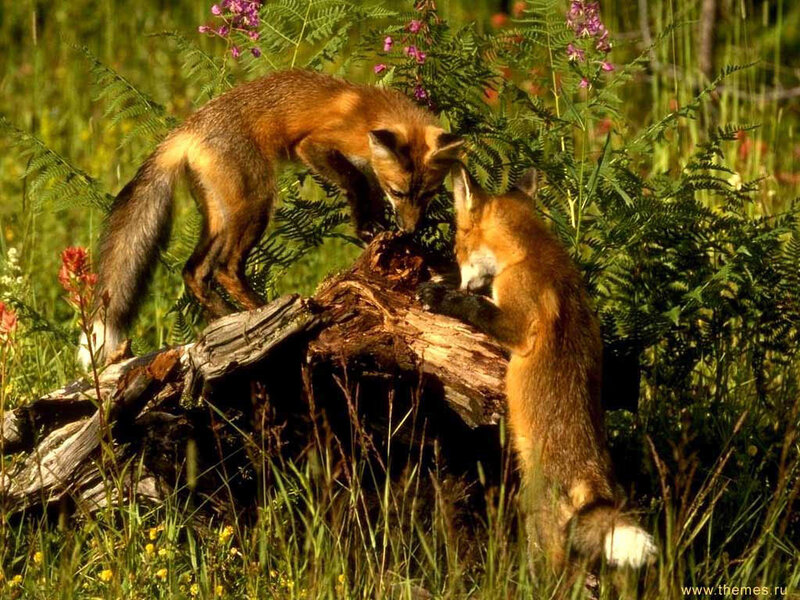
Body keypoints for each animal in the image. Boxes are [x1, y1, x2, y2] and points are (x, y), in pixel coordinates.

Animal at [78, 69, 463, 368]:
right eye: (399, 192)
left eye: (428, 195)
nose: (409, 230)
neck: (370, 114)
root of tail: (186, 130)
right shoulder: (315, 146)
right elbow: (354, 183)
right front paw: (369, 228)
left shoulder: (369, 174)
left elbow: (366, 196)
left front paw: (373, 228)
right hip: (257, 204)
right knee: (225, 268)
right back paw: (265, 314)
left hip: (221, 216)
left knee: (194, 271)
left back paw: (227, 317)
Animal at [419, 166, 656, 571]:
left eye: (457, 247)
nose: (460, 277)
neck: (532, 251)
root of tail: (591, 476)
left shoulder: (518, 322)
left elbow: (479, 308)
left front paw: (445, 297)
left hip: (536, 520)